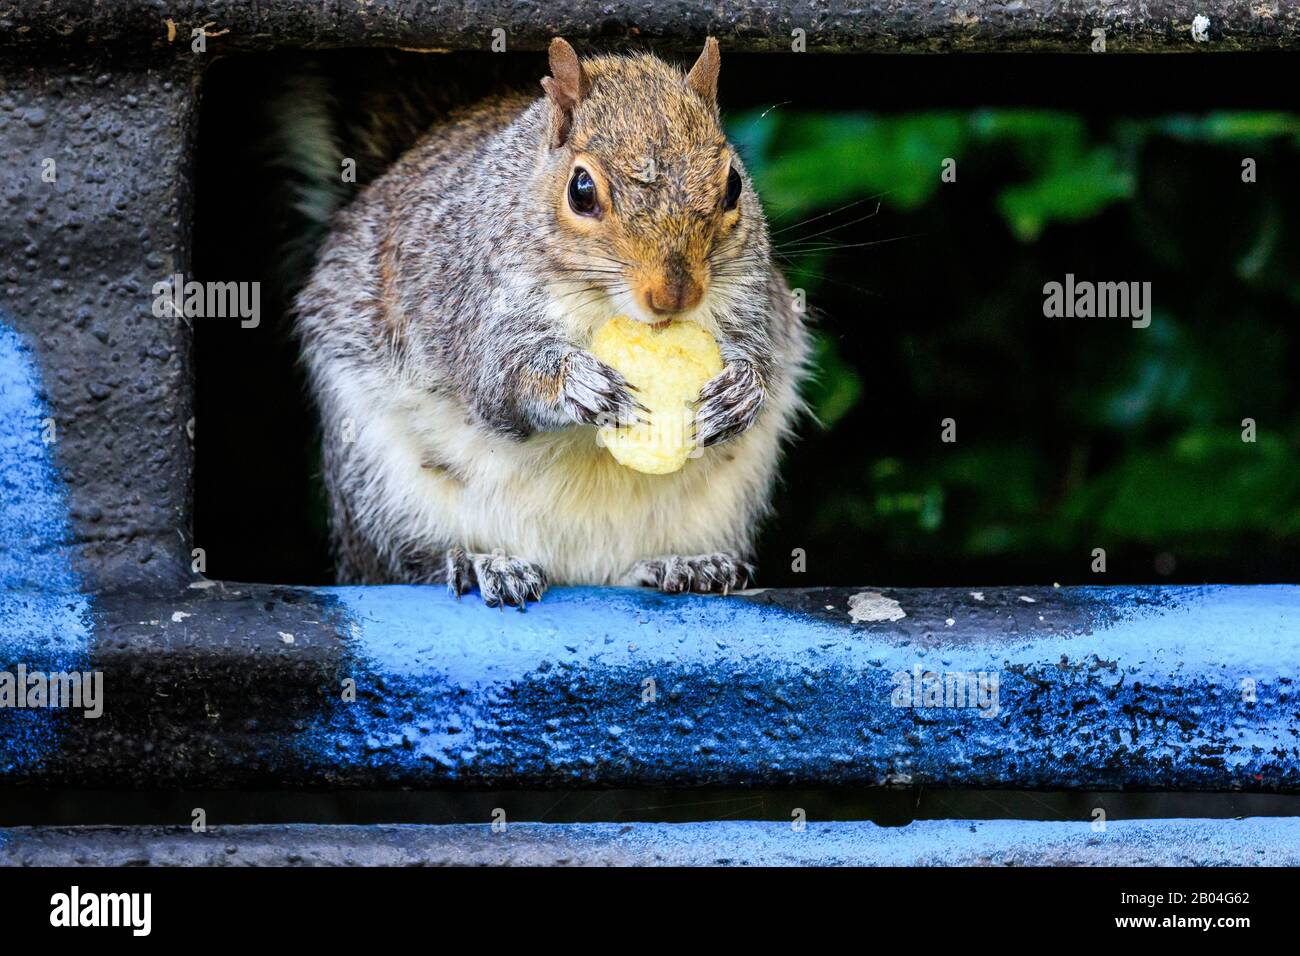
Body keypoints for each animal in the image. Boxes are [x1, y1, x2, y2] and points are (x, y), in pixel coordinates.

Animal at [289, 39, 806, 606]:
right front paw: (576, 384)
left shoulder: (754, 296)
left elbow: (761, 349)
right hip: (381, 487)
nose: (675, 296)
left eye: (733, 185)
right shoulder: (474, 300)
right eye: (581, 190)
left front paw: (743, 389)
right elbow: (499, 381)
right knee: (404, 567)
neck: (605, 304)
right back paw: (480, 562)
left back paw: (685, 565)